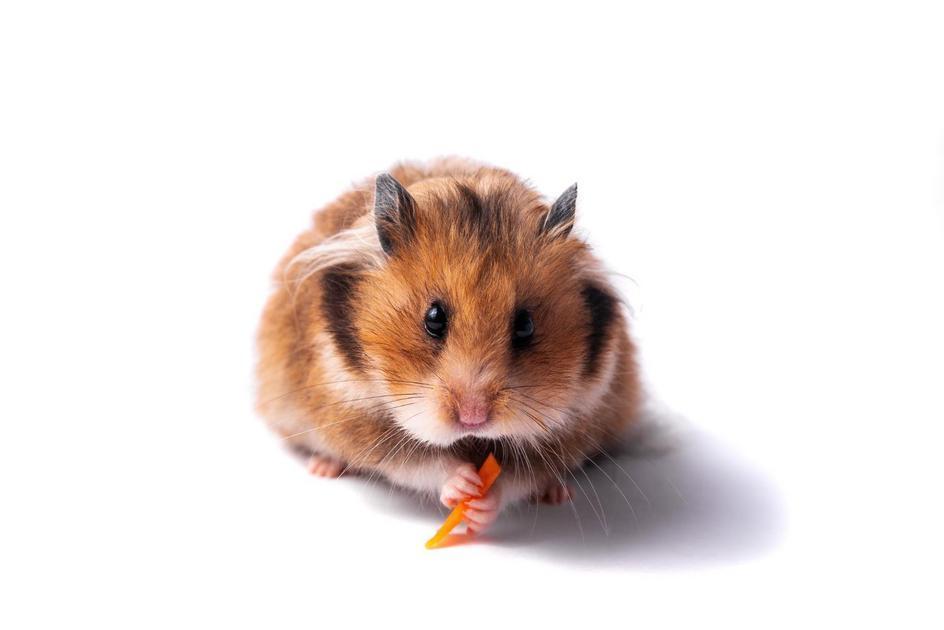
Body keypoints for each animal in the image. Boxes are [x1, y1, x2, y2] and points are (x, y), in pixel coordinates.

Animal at [256, 158, 640, 534]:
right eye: (434, 318)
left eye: (525, 325)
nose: (474, 418)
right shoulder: (356, 415)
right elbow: (421, 460)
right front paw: (463, 484)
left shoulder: (575, 422)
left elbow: (517, 474)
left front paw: (482, 504)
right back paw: (324, 466)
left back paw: (557, 493)